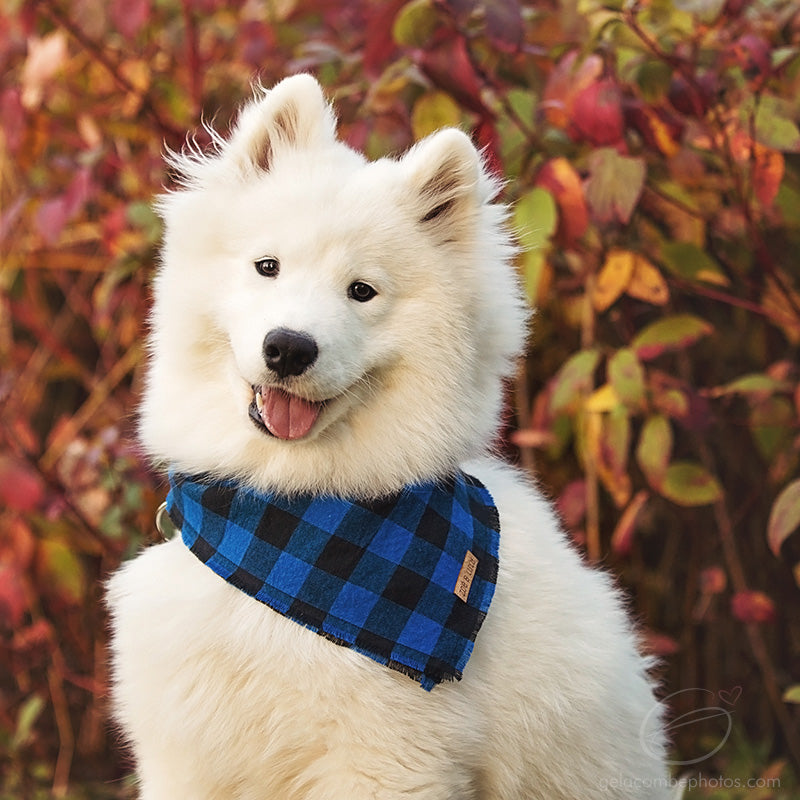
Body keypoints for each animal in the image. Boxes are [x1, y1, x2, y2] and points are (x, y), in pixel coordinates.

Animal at [106, 72, 672, 796]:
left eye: (362, 291)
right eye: (268, 266)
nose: (289, 348)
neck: (286, 520)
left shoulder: (386, 762)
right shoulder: (187, 757)